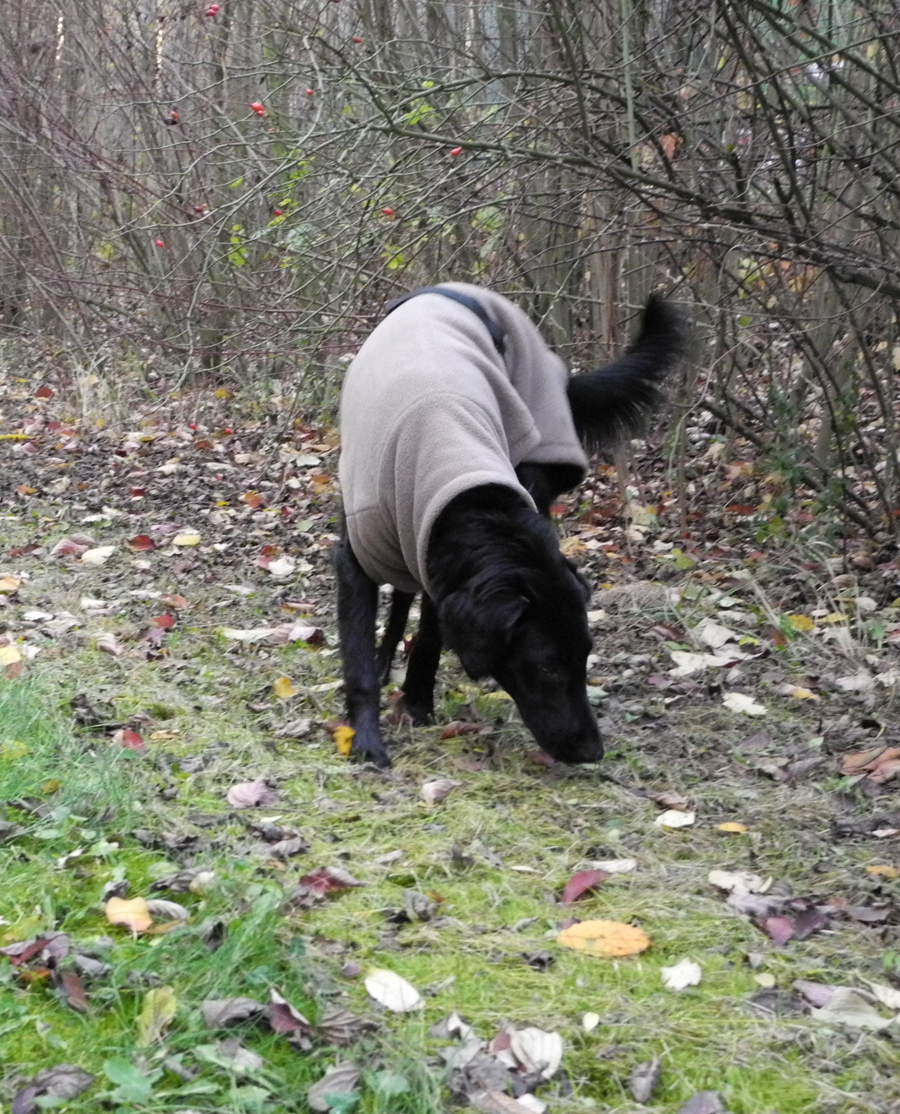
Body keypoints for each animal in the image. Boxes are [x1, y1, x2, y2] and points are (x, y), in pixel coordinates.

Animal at [336, 287, 681, 770]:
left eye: (586, 655)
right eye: (548, 666)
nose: (592, 752)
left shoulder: (439, 559)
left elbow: (430, 635)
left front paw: (417, 702)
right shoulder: (360, 553)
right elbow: (359, 664)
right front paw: (367, 741)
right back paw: (385, 660)